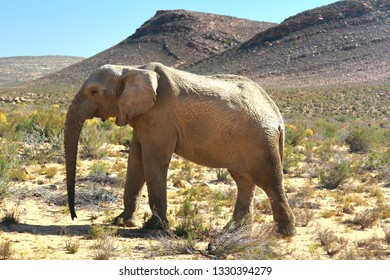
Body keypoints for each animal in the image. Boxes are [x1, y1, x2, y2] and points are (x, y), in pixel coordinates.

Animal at [64, 61, 296, 236]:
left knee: (269, 180)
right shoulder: (143, 118)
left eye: (94, 92)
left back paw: (284, 233)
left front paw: (153, 227)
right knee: (244, 181)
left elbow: (153, 160)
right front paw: (121, 221)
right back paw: (233, 231)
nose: (74, 216)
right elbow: (136, 160)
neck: (132, 69)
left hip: (259, 140)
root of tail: (278, 117)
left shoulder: (159, 117)